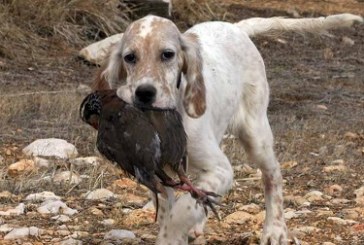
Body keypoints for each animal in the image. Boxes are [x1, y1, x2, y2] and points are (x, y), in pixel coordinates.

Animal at [92, 13, 362, 245]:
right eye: (130, 57)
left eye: (167, 54)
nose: (144, 93)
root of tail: (236, 27)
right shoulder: (158, 172)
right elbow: (172, 206)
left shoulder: (221, 170)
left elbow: (181, 211)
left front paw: (171, 237)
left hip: (256, 133)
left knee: (273, 176)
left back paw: (275, 229)